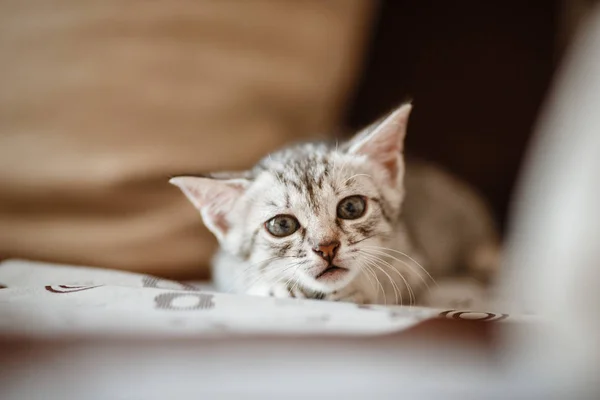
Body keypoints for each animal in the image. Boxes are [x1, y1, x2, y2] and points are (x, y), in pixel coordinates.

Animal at [171, 104, 500, 306]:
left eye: (351, 208)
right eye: (282, 225)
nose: (326, 248)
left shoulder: (414, 259)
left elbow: (392, 280)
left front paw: (361, 288)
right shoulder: (223, 265)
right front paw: (277, 286)